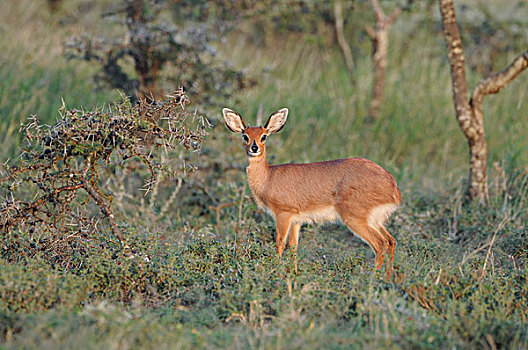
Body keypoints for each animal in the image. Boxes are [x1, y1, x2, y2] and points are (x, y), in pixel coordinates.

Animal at [222, 106, 400, 276]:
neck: (268, 177)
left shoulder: (283, 214)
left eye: (264, 136)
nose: (254, 148)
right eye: (245, 136)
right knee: (391, 241)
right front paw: (293, 273)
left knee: (380, 244)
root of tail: (393, 187)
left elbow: (280, 243)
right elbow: (293, 245)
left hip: (355, 218)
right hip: (375, 220)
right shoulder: (296, 220)